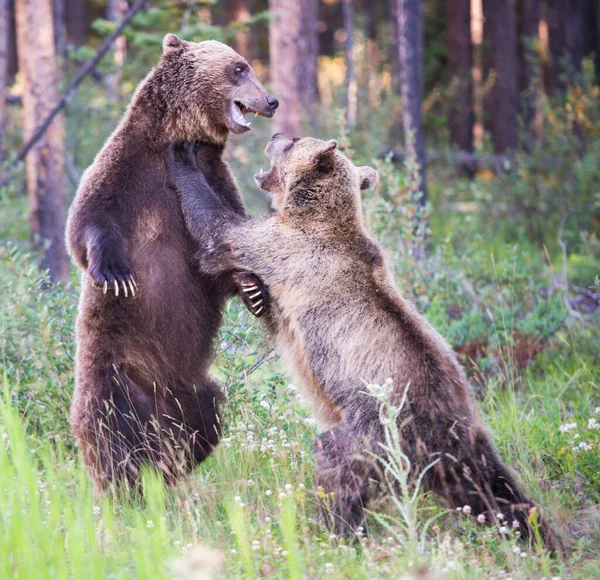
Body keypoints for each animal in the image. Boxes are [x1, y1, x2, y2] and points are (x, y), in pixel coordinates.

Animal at [67, 34, 278, 490]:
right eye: (238, 68)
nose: (271, 100)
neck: (180, 138)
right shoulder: (126, 167)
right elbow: (87, 220)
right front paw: (116, 272)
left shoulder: (213, 176)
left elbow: (220, 250)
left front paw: (252, 288)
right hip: (114, 370)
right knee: (111, 429)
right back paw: (126, 484)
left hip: (192, 389)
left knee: (206, 417)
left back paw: (171, 467)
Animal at [165, 134, 564, 552]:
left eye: (293, 141)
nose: (275, 135)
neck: (316, 214)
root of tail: (446, 431)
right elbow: (273, 316)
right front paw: (253, 293)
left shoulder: (289, 248)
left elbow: (221, 231)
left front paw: (182, 156)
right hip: (472, 431)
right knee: (498, 488)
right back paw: (543, 536)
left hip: (376, 426)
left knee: (336, 460)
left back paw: (336, 531)